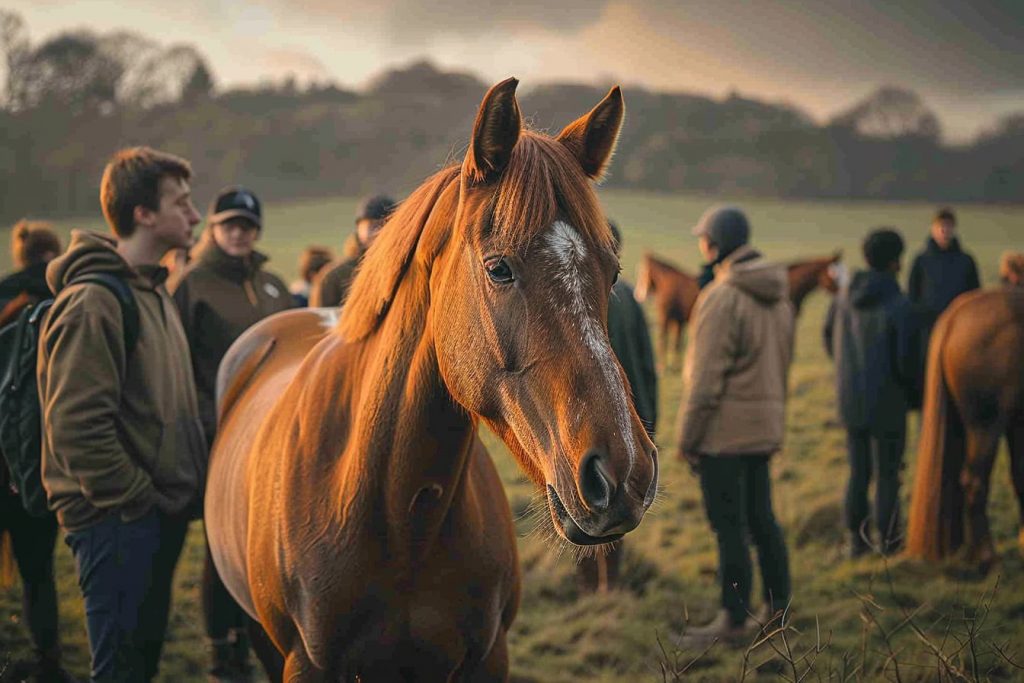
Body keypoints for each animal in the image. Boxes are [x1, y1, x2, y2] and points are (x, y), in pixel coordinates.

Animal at [634, 251, 842, 368]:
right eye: (833, 273)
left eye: (643, 272)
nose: (639, 294)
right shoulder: (672, 319)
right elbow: (670, 343)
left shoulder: (675, 320)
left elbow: (674, 344)